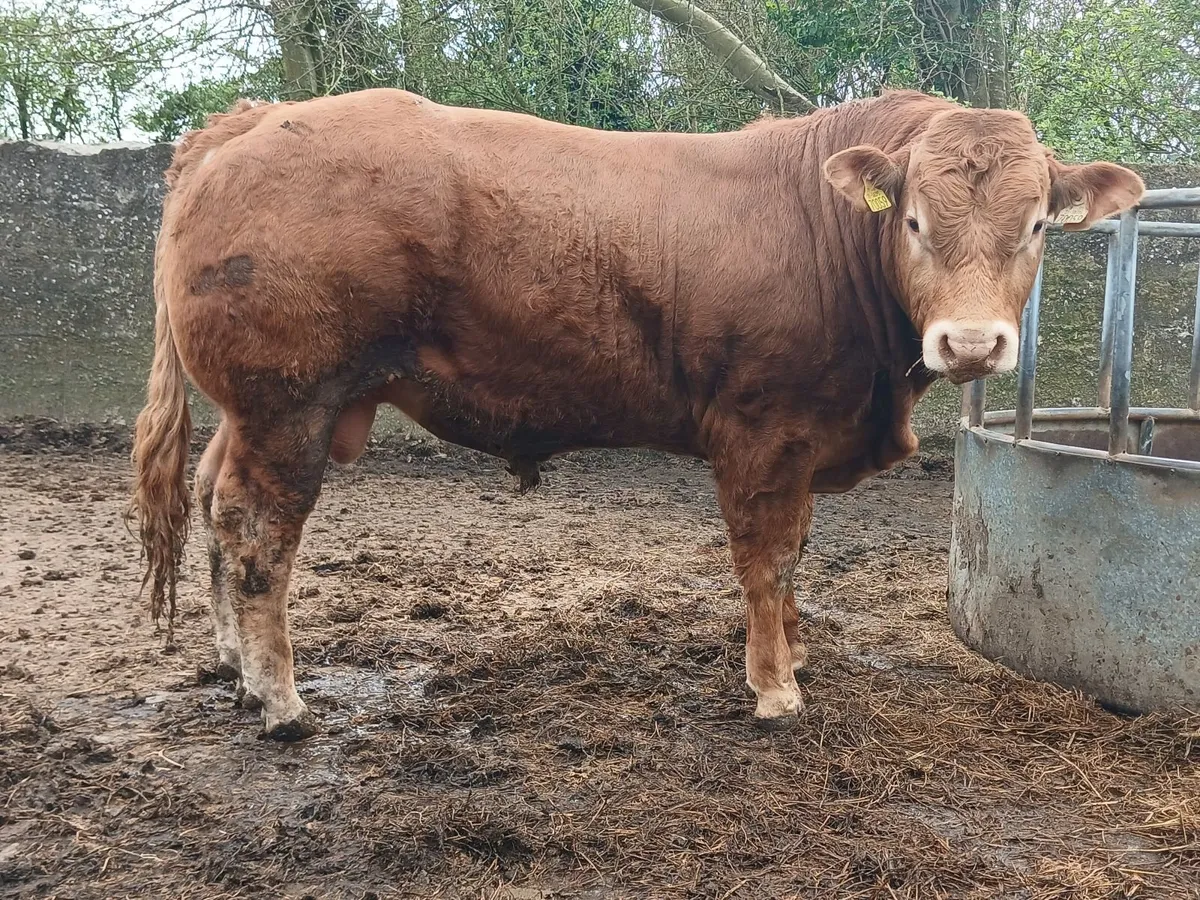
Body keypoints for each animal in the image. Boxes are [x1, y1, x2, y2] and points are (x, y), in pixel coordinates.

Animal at [128, 87, 1143, 740]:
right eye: (916, 222)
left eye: (1038, 226)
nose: (971, 345)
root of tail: (248, 122)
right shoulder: (763, 432)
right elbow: (767, 559)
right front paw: (774, 689)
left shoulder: (805, 441)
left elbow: (797, 553)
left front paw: (797, 654)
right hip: (289, 402)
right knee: (256, 528)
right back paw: (281, 701)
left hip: (249, 412)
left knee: (214, 502)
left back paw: (232, 670)